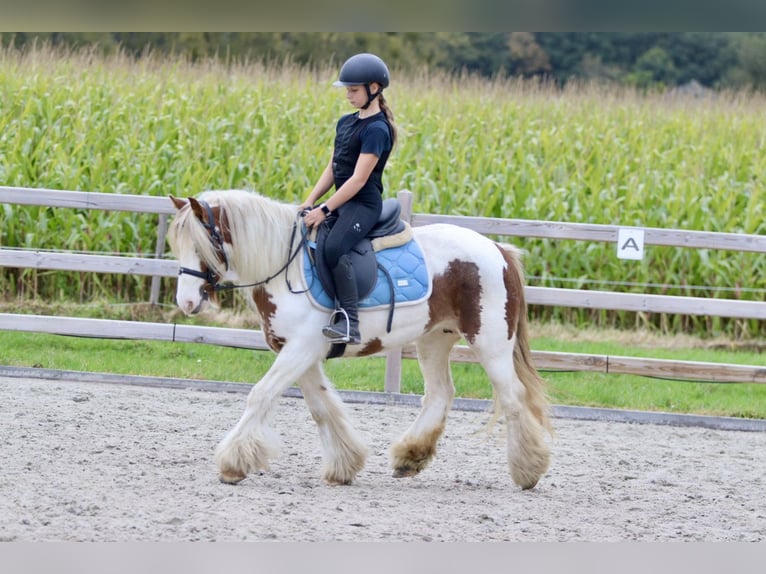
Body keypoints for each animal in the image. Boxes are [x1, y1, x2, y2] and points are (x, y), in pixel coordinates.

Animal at [166, 191, 552, 492]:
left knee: (513, 398)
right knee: (440, 394)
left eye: (202, 244)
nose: (187, 302)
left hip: (490, 341)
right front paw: (344, 465)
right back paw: (409, 458)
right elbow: (322, 408)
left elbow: (260, 395)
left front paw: (233, 464)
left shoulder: (300, 349)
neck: (285, 270)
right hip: (434, 339)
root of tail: (497, 249)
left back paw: (528, 470)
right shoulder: (300, 352)